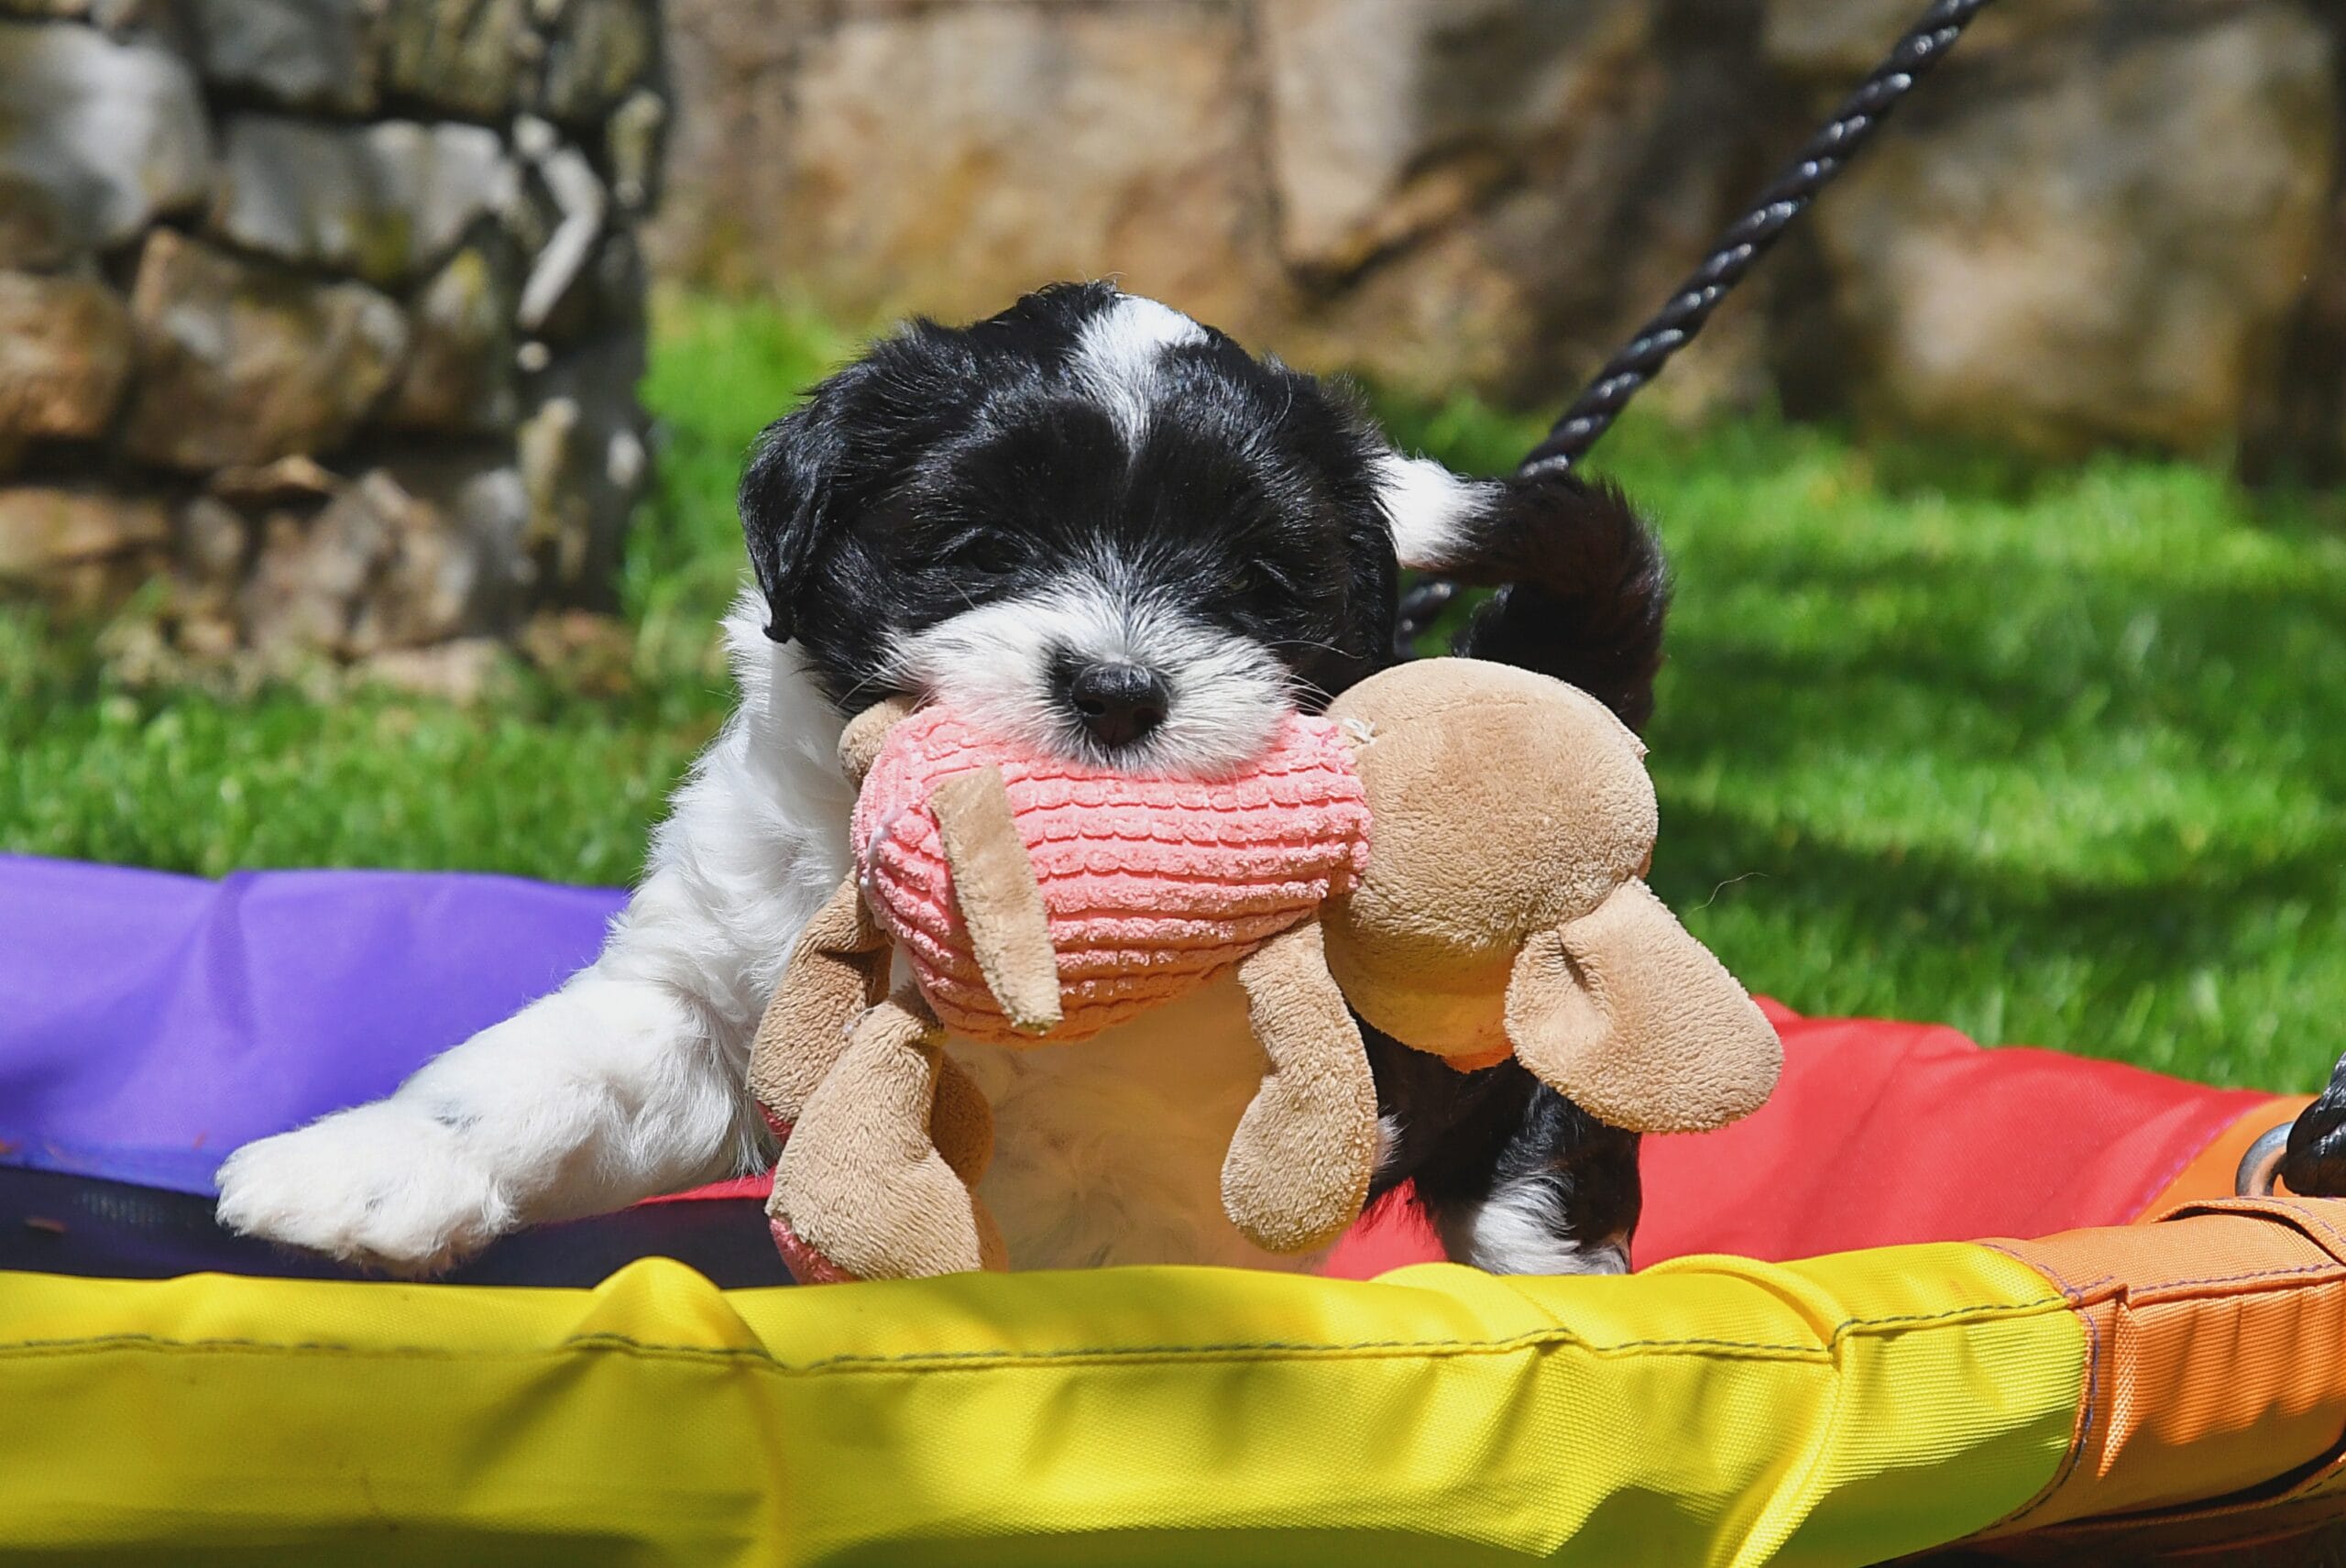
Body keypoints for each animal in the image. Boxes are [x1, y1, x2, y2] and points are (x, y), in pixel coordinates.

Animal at [214, 282, 1667, 1279]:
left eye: (1257, 583)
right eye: (981, 546)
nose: (1117, 687)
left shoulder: (1179, 1164)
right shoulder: (711, 997)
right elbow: (544, 1076)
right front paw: (369, 1167)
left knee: (1545, 1216)